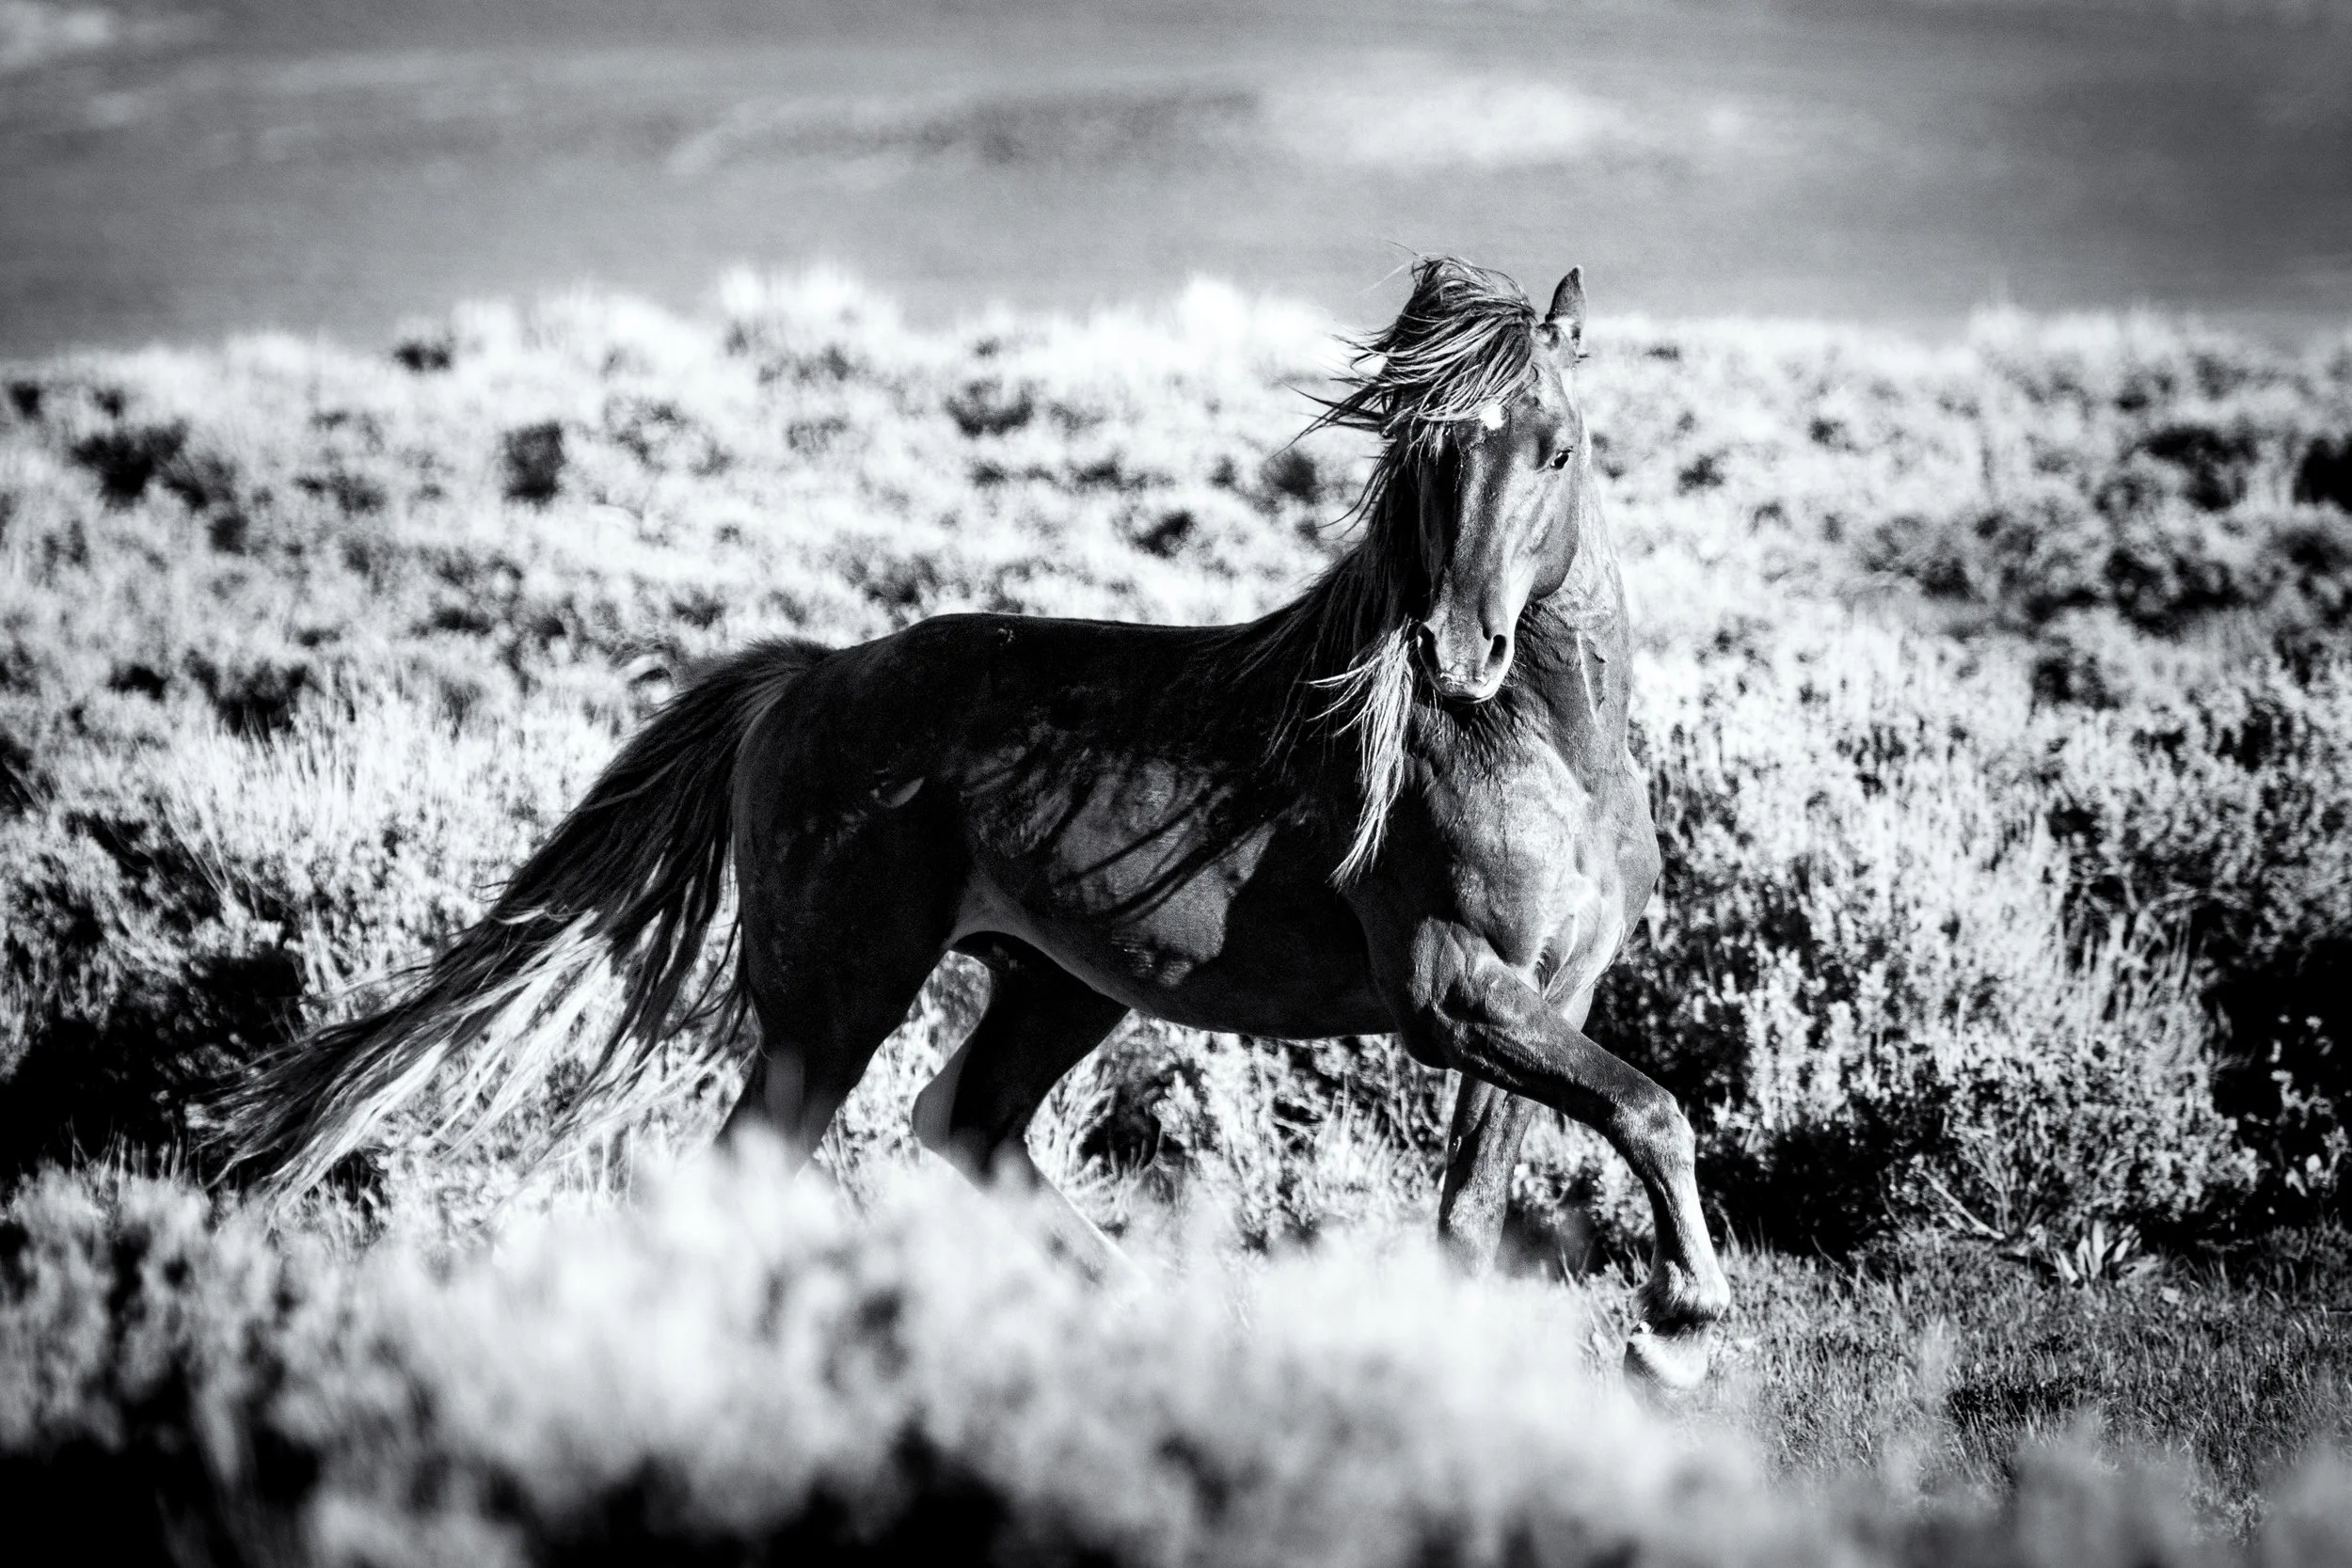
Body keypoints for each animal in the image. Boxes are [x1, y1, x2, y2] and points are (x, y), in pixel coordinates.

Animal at [217, 256, 1732, 1387]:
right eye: (1423, 454)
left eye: (1557, 447)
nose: (1456, 647)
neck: (1533, 752)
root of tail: (803, 678)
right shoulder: (1450, 993)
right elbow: (1653, 1110)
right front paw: (1683, 1322)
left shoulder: (1544, 992)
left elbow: (1487, 1199)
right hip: (834, 1007)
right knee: (772, 1163)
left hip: (1060, 982)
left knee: (969, 1122)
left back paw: (1158, 1326)